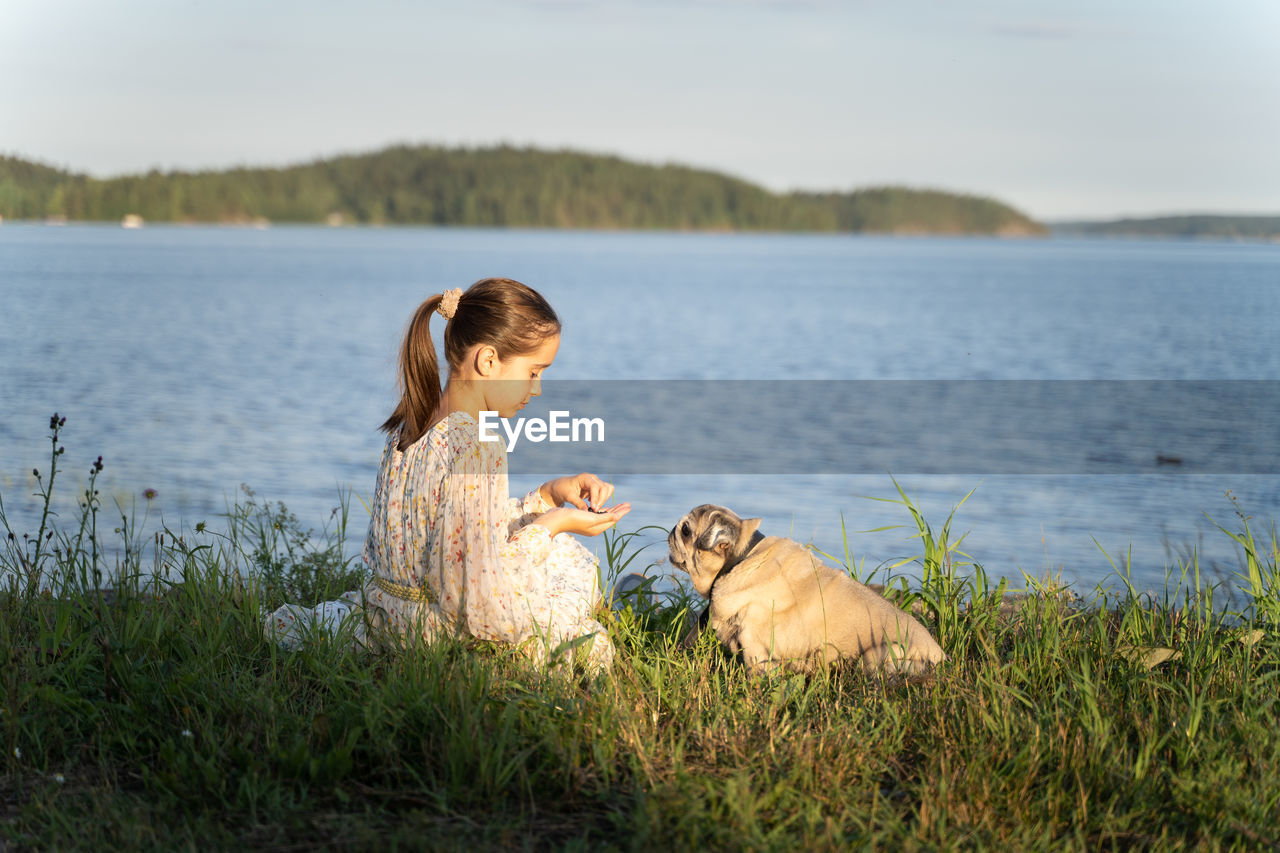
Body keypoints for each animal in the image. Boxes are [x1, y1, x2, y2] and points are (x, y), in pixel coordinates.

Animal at [665, 502, 947, 676]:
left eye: (686, 530)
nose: (670, 531)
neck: (740, 558)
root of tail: (942, 658)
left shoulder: (757, 651)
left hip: (879, 653)